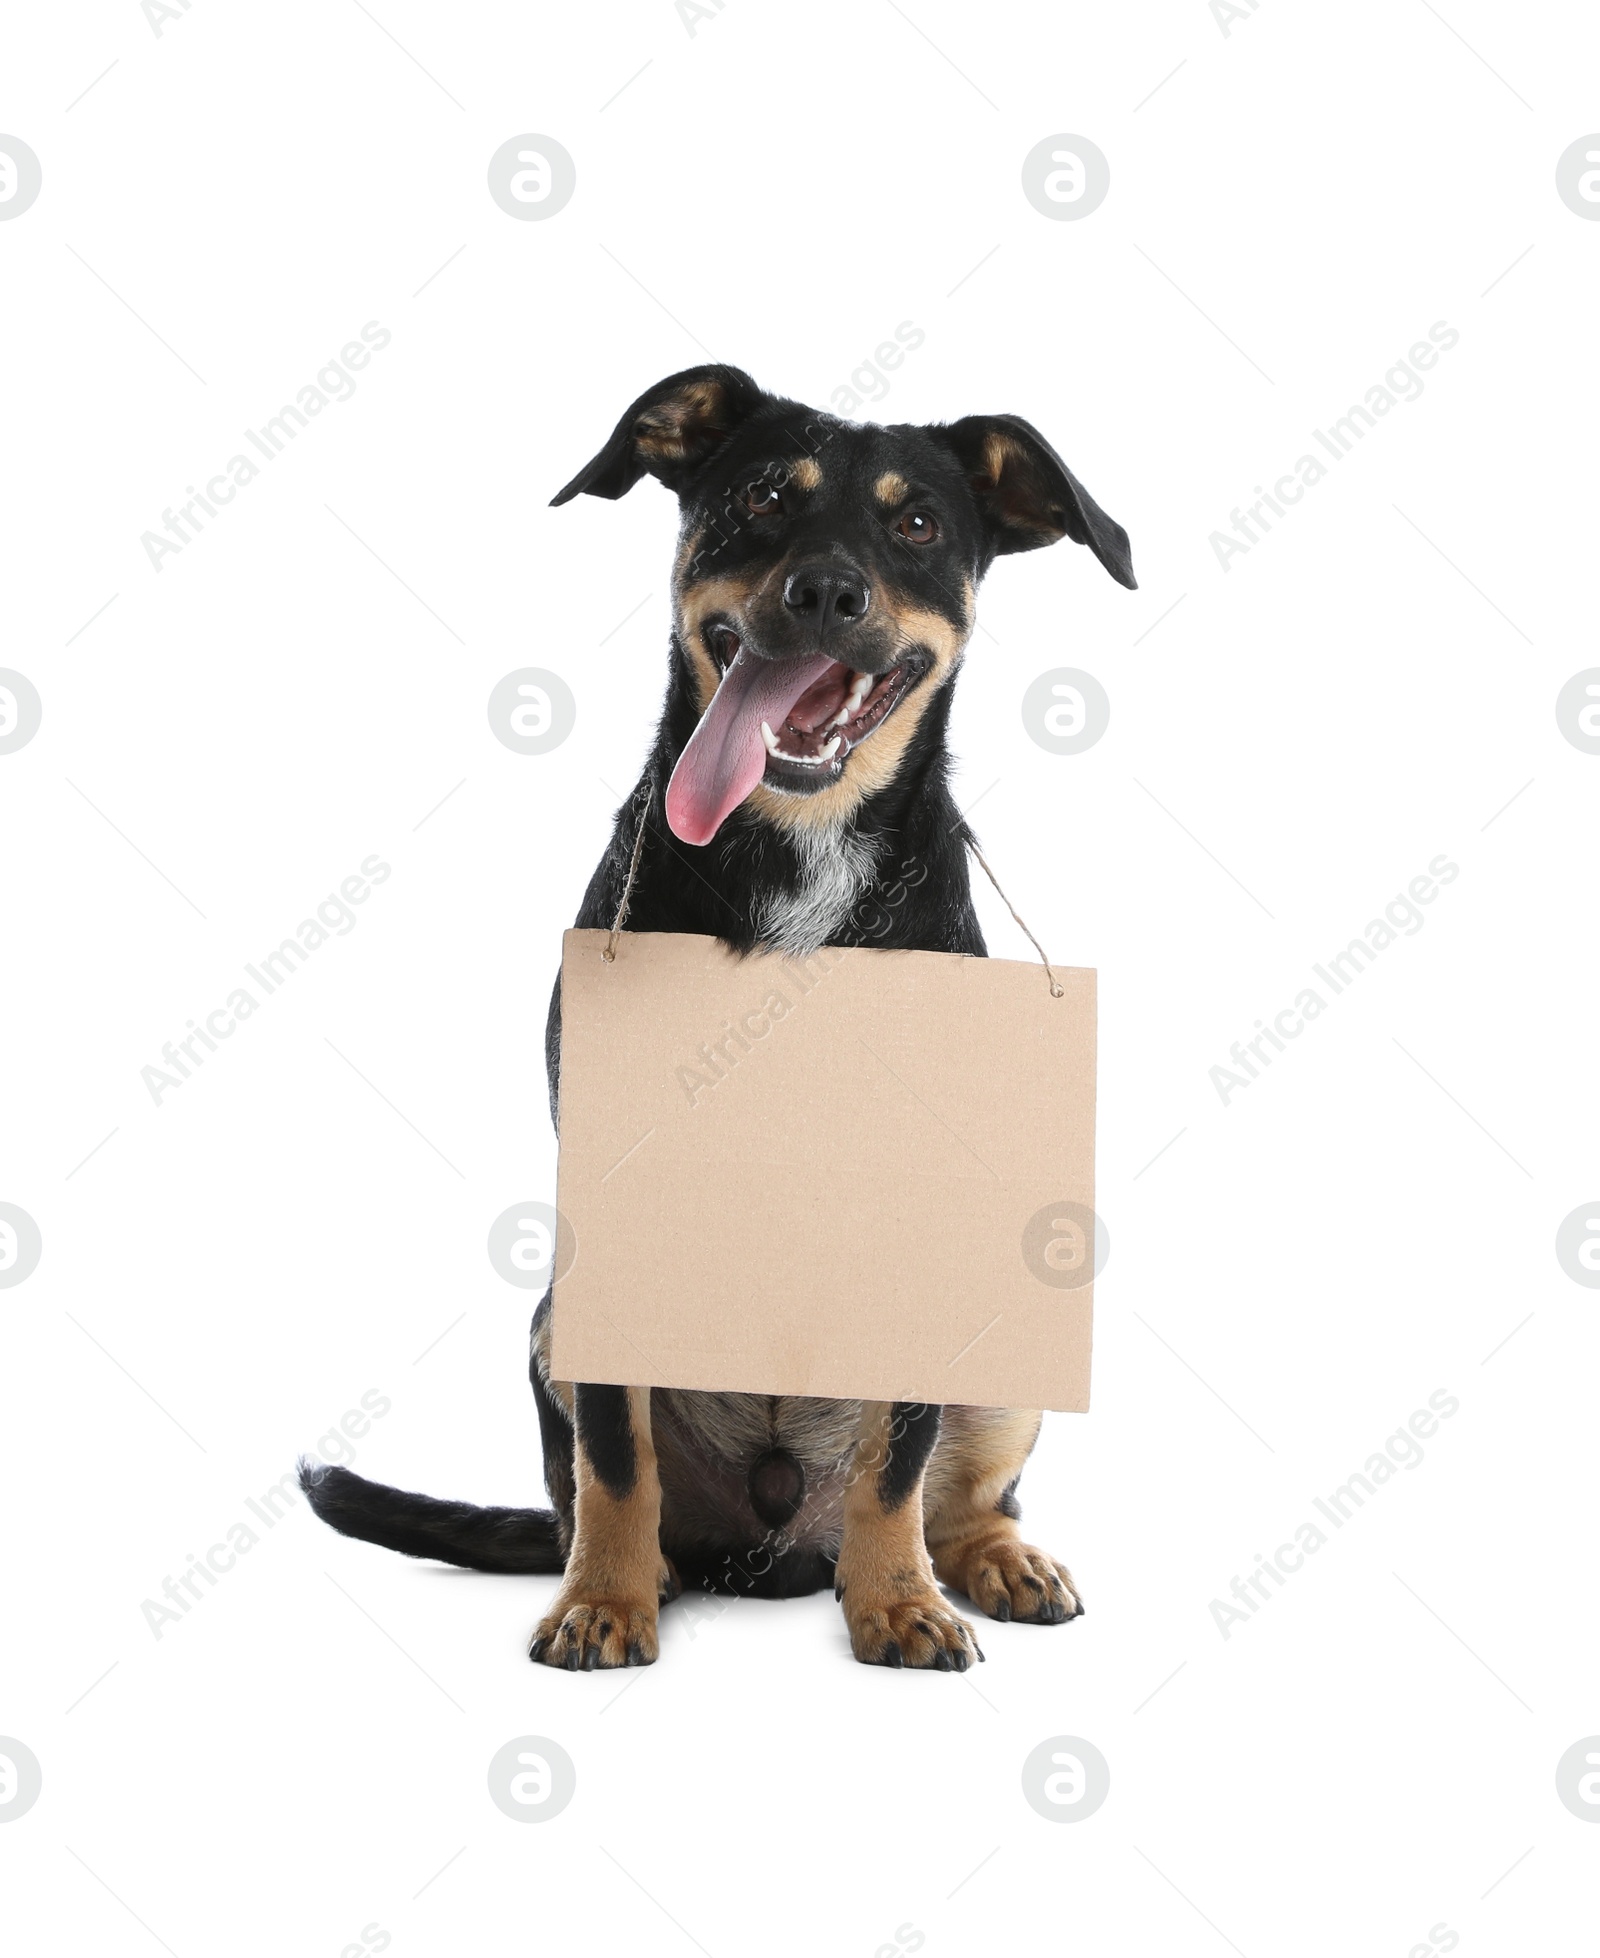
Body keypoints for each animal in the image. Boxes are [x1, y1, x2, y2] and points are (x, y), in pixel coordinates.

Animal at [303, 364, 1135, 1668]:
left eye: (916, 524)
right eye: (761, 496)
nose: (826, 589)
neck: (800, 850)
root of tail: (774, 1548)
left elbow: (896, 1464)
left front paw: (897, 1600)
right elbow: (615, 1457)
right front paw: (603, 1600)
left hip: (997, 1362)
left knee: (957, 1495)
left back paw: (988, 1561)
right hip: (552, 1321)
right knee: (602, 1491)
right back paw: (641, 1567)